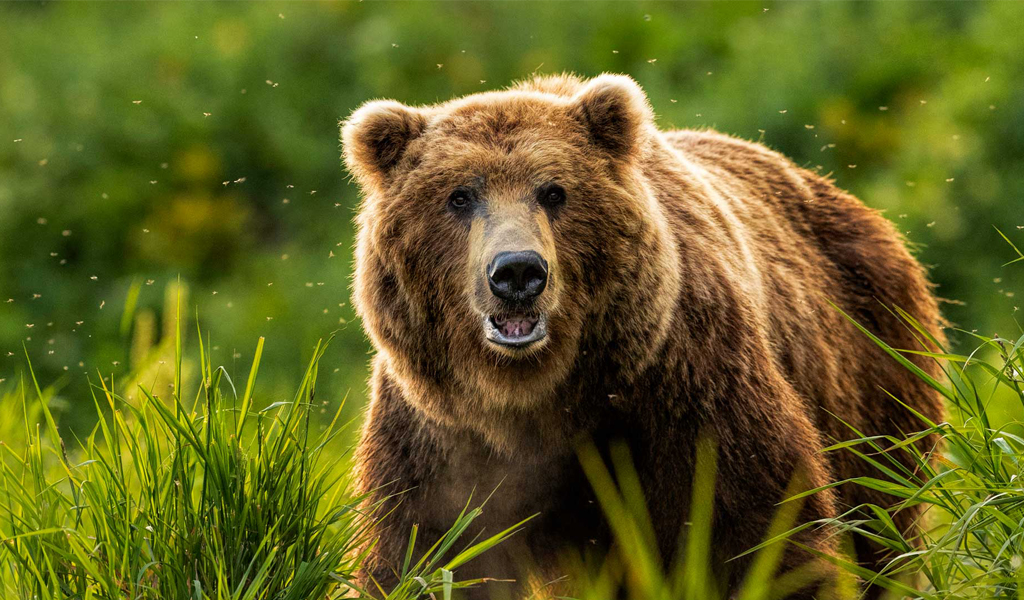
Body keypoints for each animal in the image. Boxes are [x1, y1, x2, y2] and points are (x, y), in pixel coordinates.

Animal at [342, 72, 942, 593]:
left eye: (554, 192)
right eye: (460, 196)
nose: (517, 272)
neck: (538, 400)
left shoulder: (685, 392)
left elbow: (758, 530)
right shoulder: (439, 434)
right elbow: (428, 555)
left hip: (872, 376)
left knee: (883, 523)